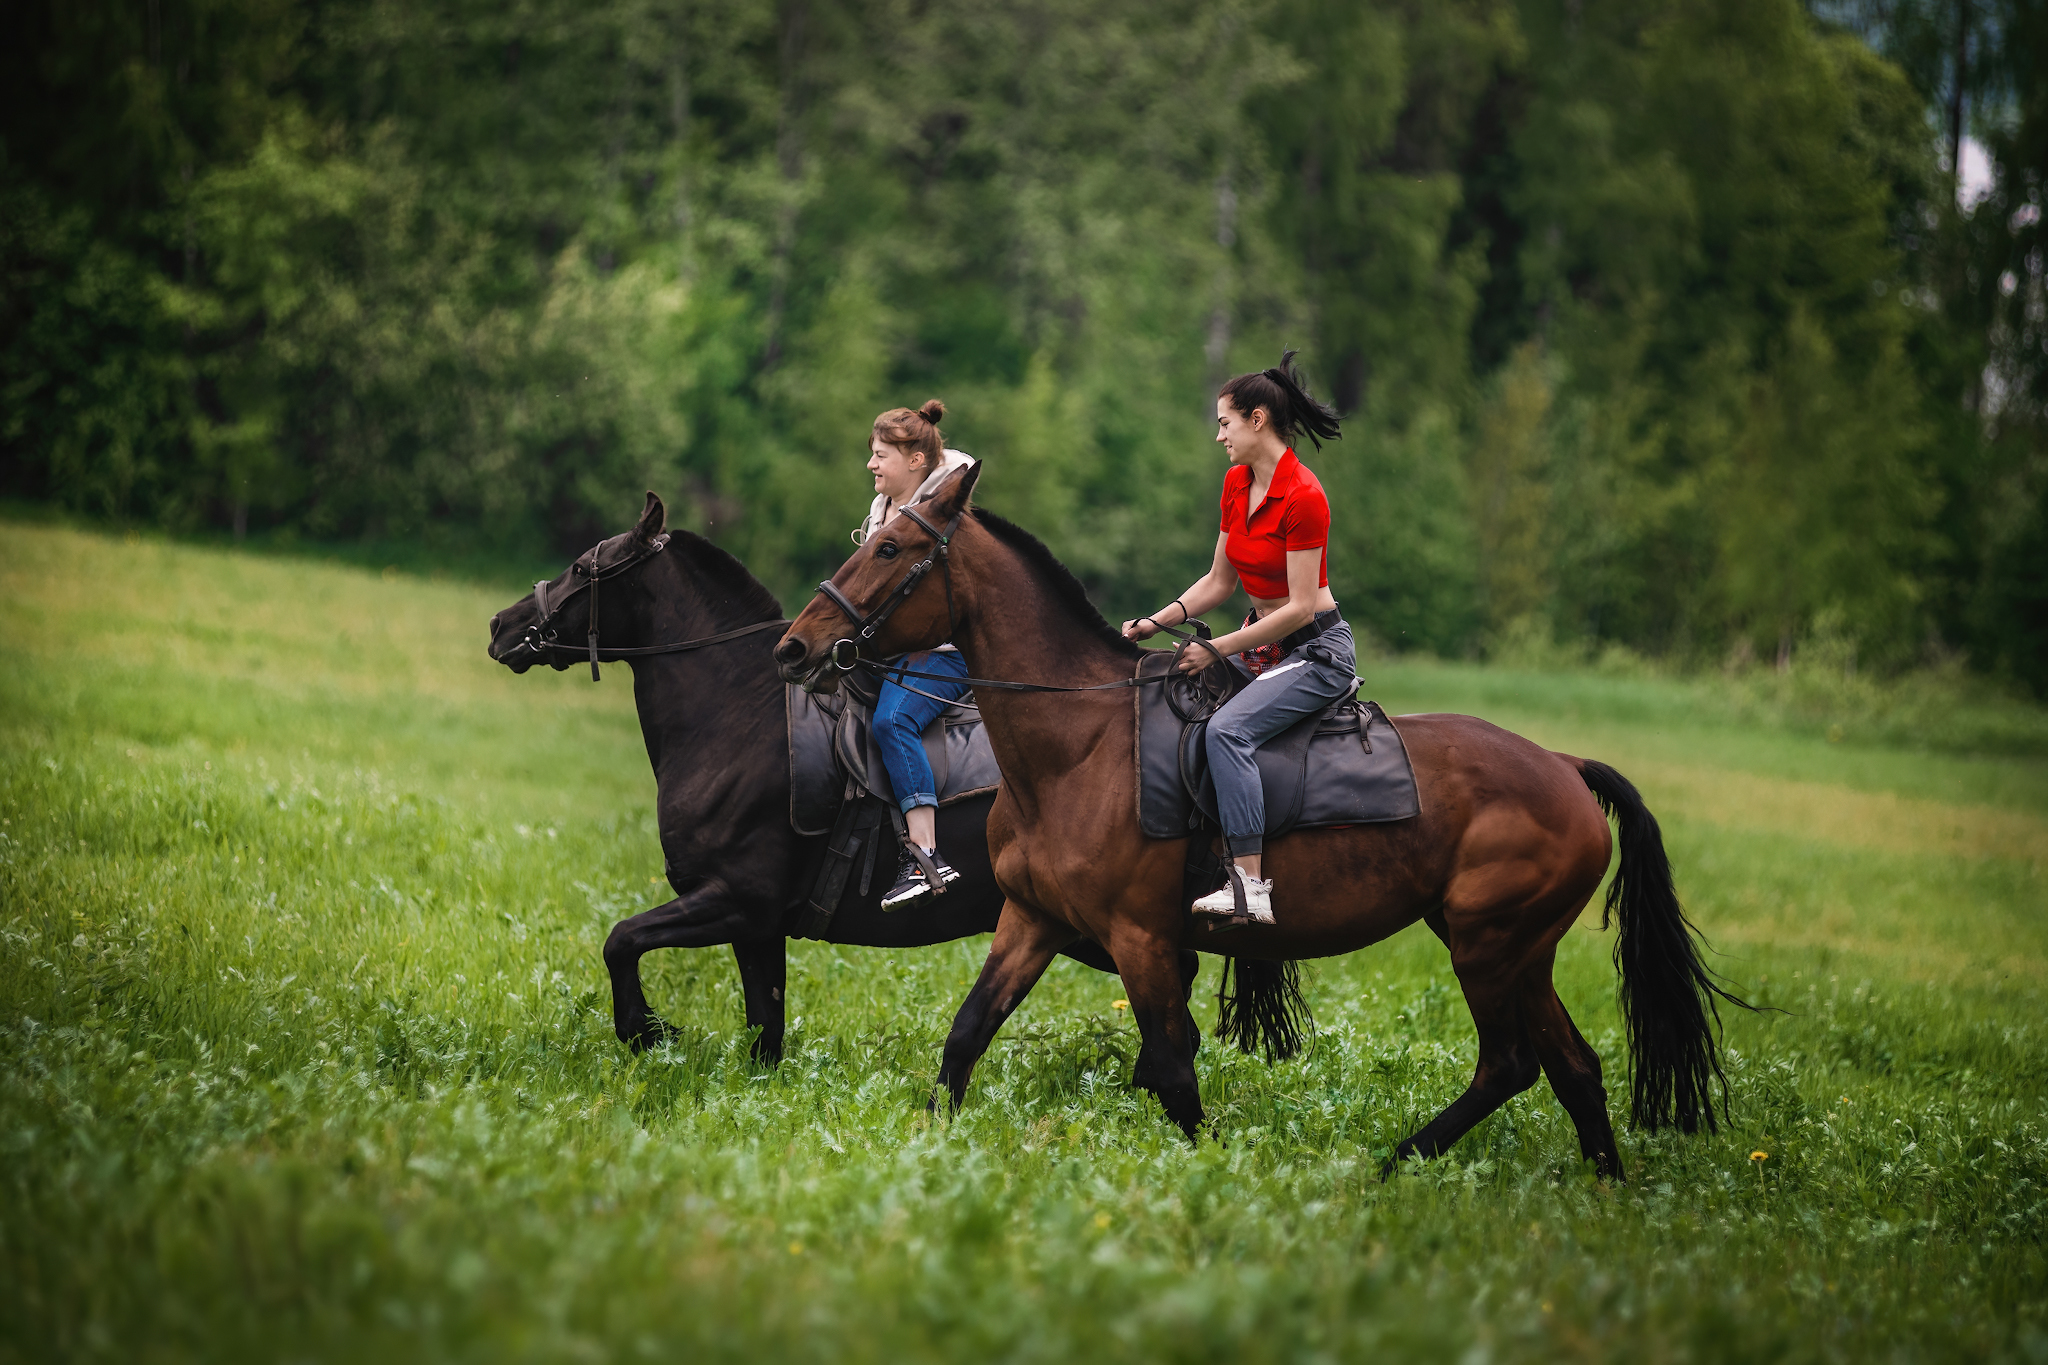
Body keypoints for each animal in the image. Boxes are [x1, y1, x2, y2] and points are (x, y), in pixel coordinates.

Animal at [774, 464, 1753, 1178]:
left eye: (890, 545)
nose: (794, 646)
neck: (1079, 742)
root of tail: (1563, 765)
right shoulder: (1034, 918)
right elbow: (968, 1033)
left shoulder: (1139, 937)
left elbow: (1172, 1066)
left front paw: (1213, 1168)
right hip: (1514, 947)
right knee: (1574, 1066)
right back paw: (1602, 1188)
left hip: (1489, 943)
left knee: (1511, 1062)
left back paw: (1397, 1160)